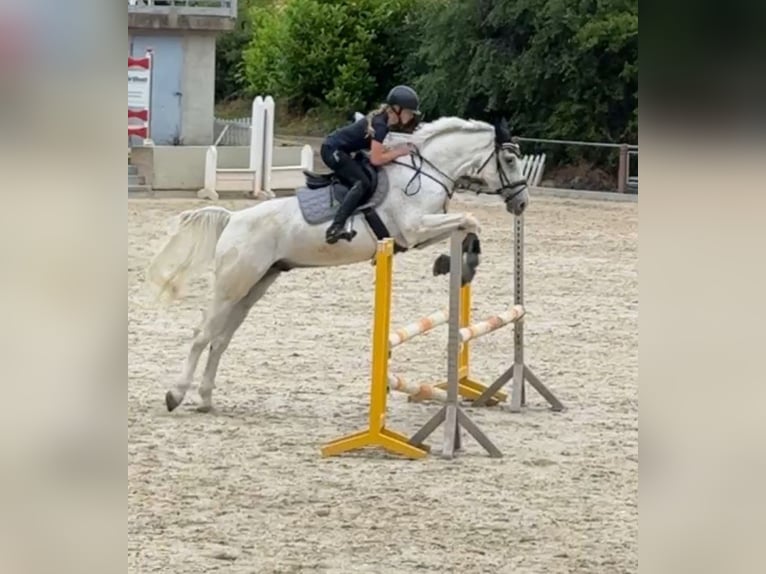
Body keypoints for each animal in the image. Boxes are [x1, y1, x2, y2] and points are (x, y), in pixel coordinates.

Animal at [147, 116, 530, 413]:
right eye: (510, 161)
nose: (522, 203)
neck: (428, 173)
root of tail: (232, 218)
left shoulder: (420, 234)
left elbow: (468, 226)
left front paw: (456, 263)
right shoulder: (414, 228)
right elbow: (471, 219)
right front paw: (460, 265)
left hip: (255, 286)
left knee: (221, 339)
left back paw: (206, 398)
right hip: (232, 285)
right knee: (202, 334)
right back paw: (175, 394)